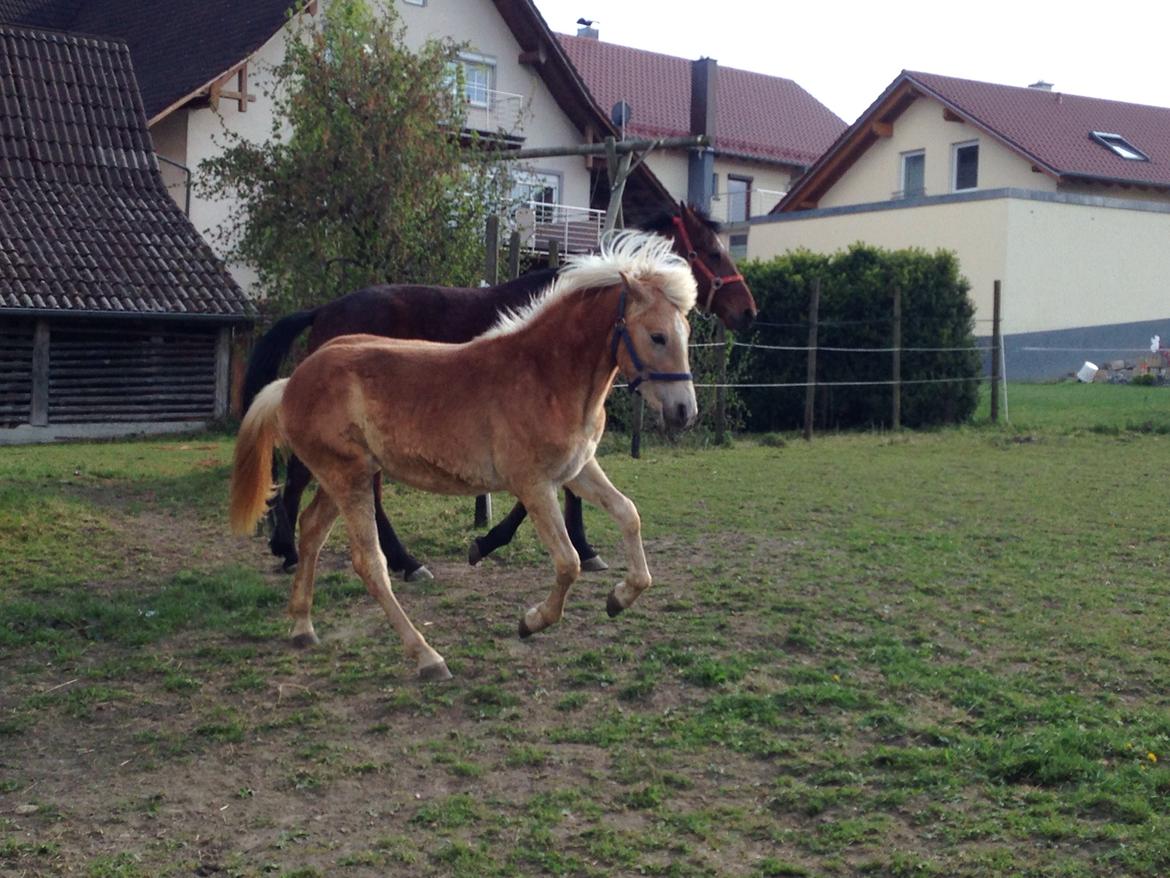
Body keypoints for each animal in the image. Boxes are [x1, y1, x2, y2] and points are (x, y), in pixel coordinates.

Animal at [232, 231, 697, 678]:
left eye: (686, 333)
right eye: (657, 336)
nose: (684, 412)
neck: (545, 374)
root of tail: (292, 381)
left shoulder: (577, 470)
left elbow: (629, 514)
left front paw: (620, 597)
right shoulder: (533, 484)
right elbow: (567, 562)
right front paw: (532, 621)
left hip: (344, 478)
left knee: (311, 530)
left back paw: (302, 626)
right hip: (348, 479)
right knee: (368, 562)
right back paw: (426, 655)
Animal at [241, 202, 753, 580]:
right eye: (711, 251)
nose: (748, 310)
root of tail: (324, 309)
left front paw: (581, 548)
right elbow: (543, 498)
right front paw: (492, 543)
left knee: (308, 477)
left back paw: (292, 549)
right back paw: (389, 560)